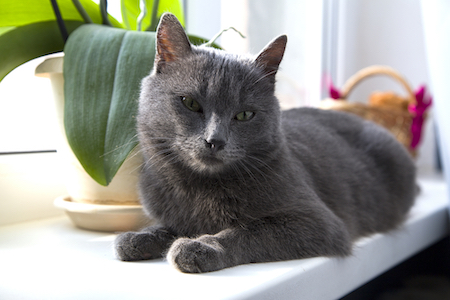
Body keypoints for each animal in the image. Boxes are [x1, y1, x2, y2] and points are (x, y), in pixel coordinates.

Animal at [114, 12, 416, 274]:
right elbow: (168, 225)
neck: (200, 189)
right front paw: (138, 238)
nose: (215, 140)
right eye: (190, 103)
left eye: (244, 115)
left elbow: (251, 231)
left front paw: (200, 246)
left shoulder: (318, 222)